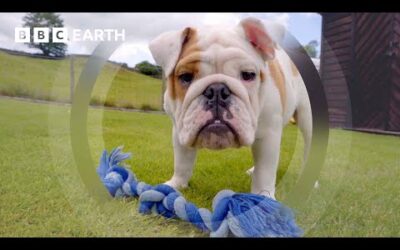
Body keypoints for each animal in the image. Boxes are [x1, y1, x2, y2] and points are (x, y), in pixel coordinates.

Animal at [150, 17, 312, 199]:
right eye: (185, 77)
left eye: (248, 75)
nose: (217, 90)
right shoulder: (180, 130)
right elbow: (182, 161)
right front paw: (175, 184)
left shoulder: (268, 134)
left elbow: (265, 172)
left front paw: (263, 196)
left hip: (307, 120)